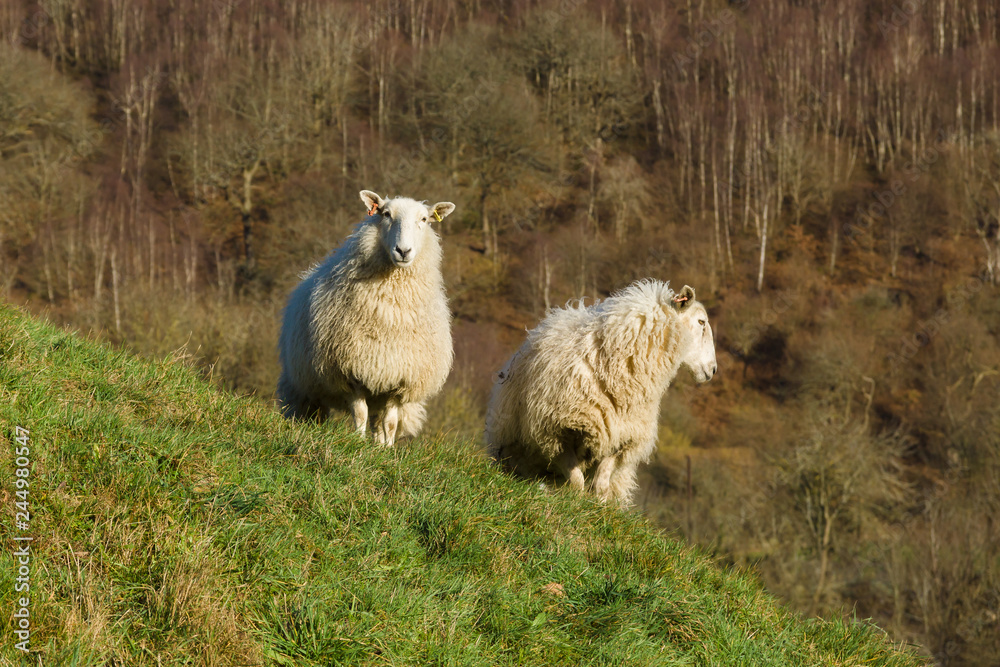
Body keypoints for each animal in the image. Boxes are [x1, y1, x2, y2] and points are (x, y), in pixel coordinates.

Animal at [277, 190, 455, 446]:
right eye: (386, 214)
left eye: (424, 219)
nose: (403, 251)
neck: (391, 312)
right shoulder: (351, 372)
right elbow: (359, 414)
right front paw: (357, 444)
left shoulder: (398, 381)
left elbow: (390, 423)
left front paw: (386, 449)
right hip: (302, 385)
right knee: (309, 411)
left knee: (378, 422)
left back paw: (379, 444)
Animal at [484, 280, 717, 505]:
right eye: (701, 322)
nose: (713, 369)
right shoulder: (555, 431)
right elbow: (576, 481)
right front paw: (576, 504)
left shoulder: (621, 436)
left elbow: (602, 484)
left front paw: (599, 507)